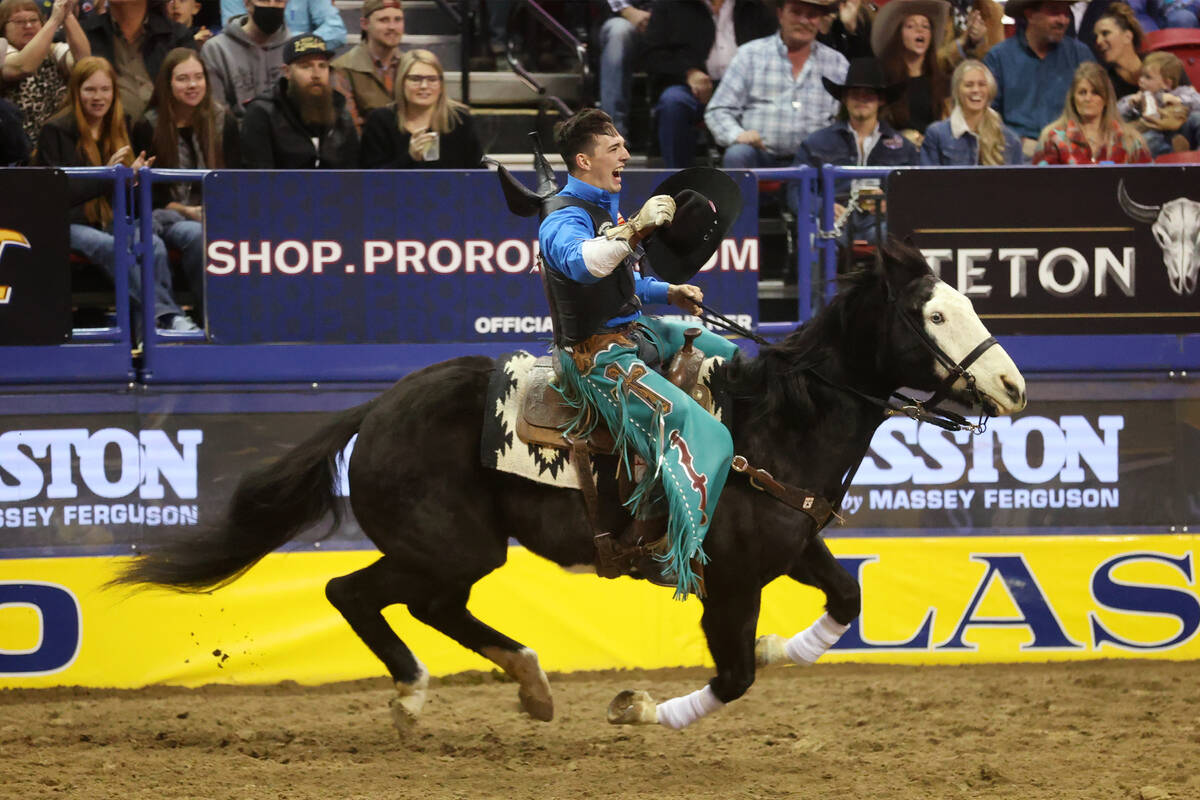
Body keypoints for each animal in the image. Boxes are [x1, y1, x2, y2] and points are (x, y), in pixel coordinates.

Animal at [119, 239, 1022, 734]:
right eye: (933, 316)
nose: (1012, 387)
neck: (778, 425)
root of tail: (377, 406)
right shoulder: (727, 580)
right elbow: (733, 676)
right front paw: (639, 710)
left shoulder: (794, 546)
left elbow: (845, 601)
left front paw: (781, 647)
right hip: (447, 545)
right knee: (357, 593)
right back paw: (415, 697)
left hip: (457, 552)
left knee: (425, 606)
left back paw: (528, 681)